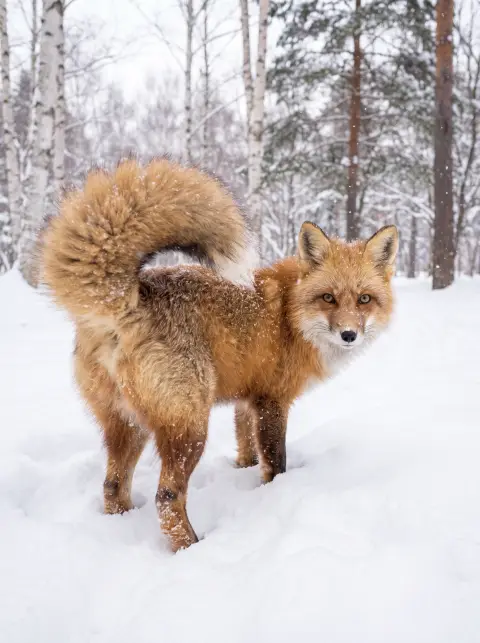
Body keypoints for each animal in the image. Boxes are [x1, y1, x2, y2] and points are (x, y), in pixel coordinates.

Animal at [40, 158, 398, 552]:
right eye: (329, 298)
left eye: (364, 299)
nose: (349, 334)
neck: (291, 316)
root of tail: (128, 296)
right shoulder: (272, 401)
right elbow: (275, 462)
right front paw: (272, 493)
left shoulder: (247, 398)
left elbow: (247, 449)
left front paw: (243, 471)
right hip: (190, 427)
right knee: (167, 497)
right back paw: (193, 546)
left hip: (128, 424)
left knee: (112, 486)